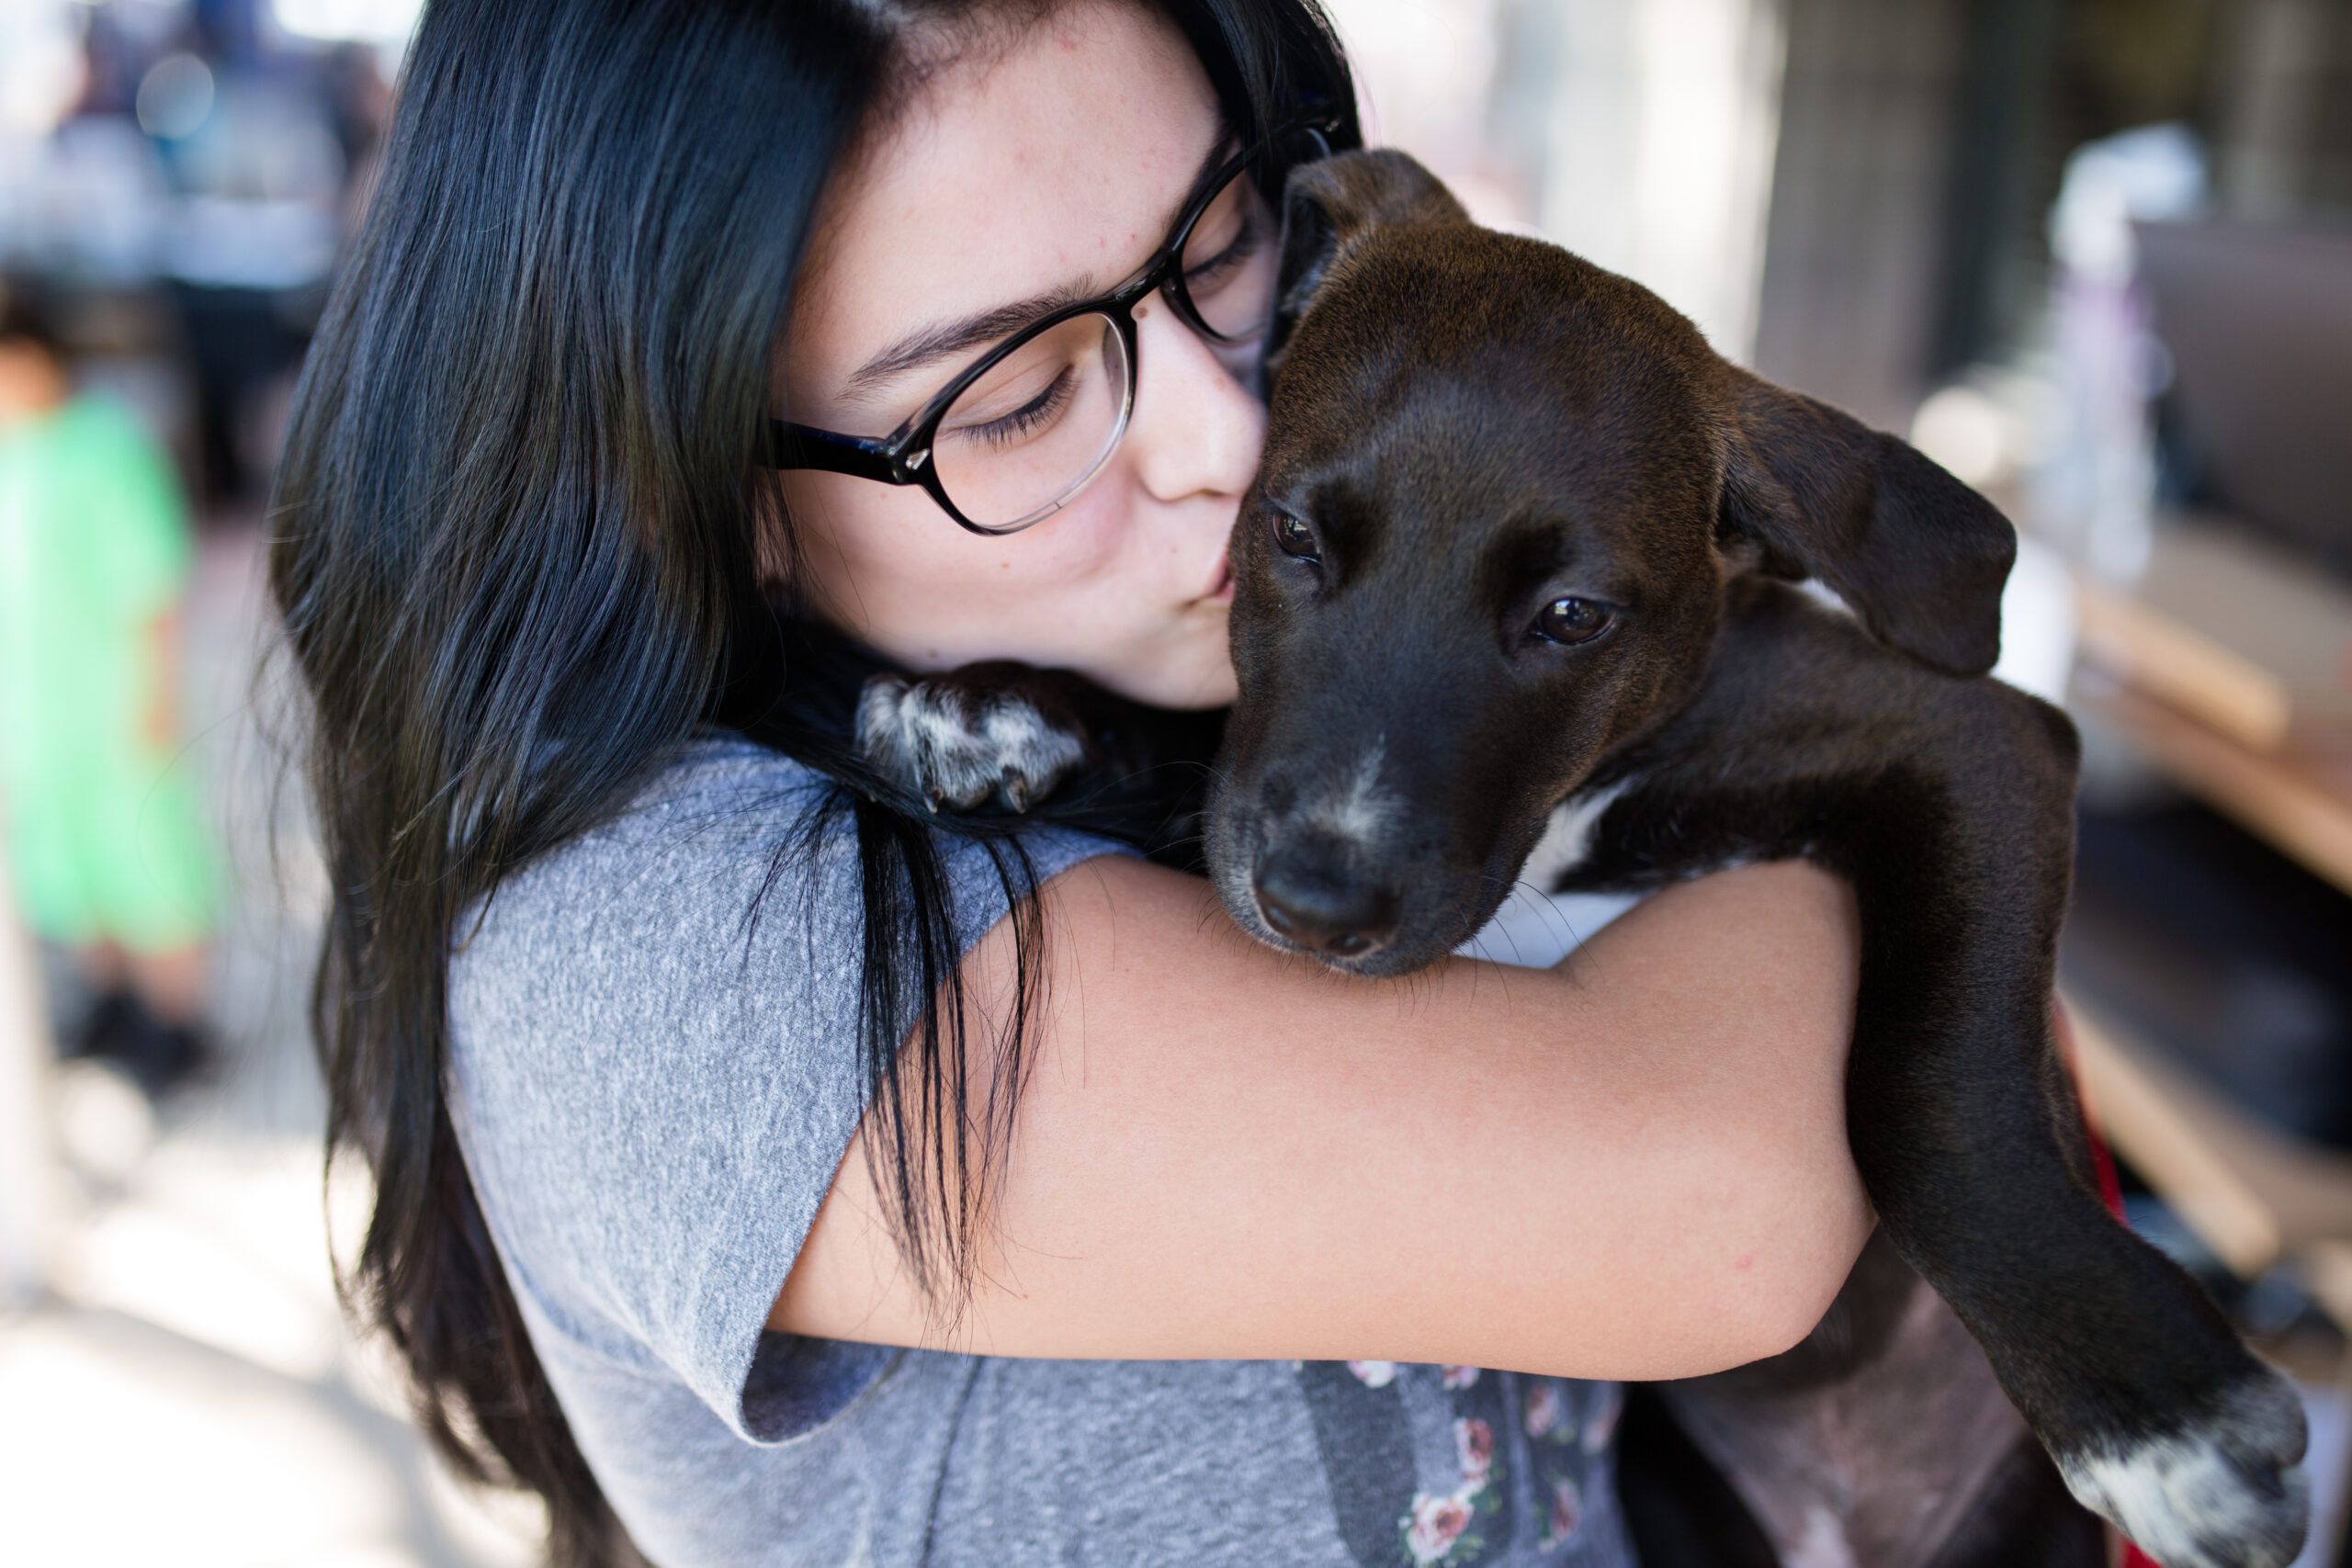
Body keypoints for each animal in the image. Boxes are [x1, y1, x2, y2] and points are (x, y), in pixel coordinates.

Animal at [851, 150, 2314, 1568]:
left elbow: (1931, 1085)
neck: (1559, 820)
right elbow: (1202, 759)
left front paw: (2151, 1415)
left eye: (1570, 617)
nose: (1314, 908)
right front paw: (998, 703)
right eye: (1290, 537)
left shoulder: (1981, 741)